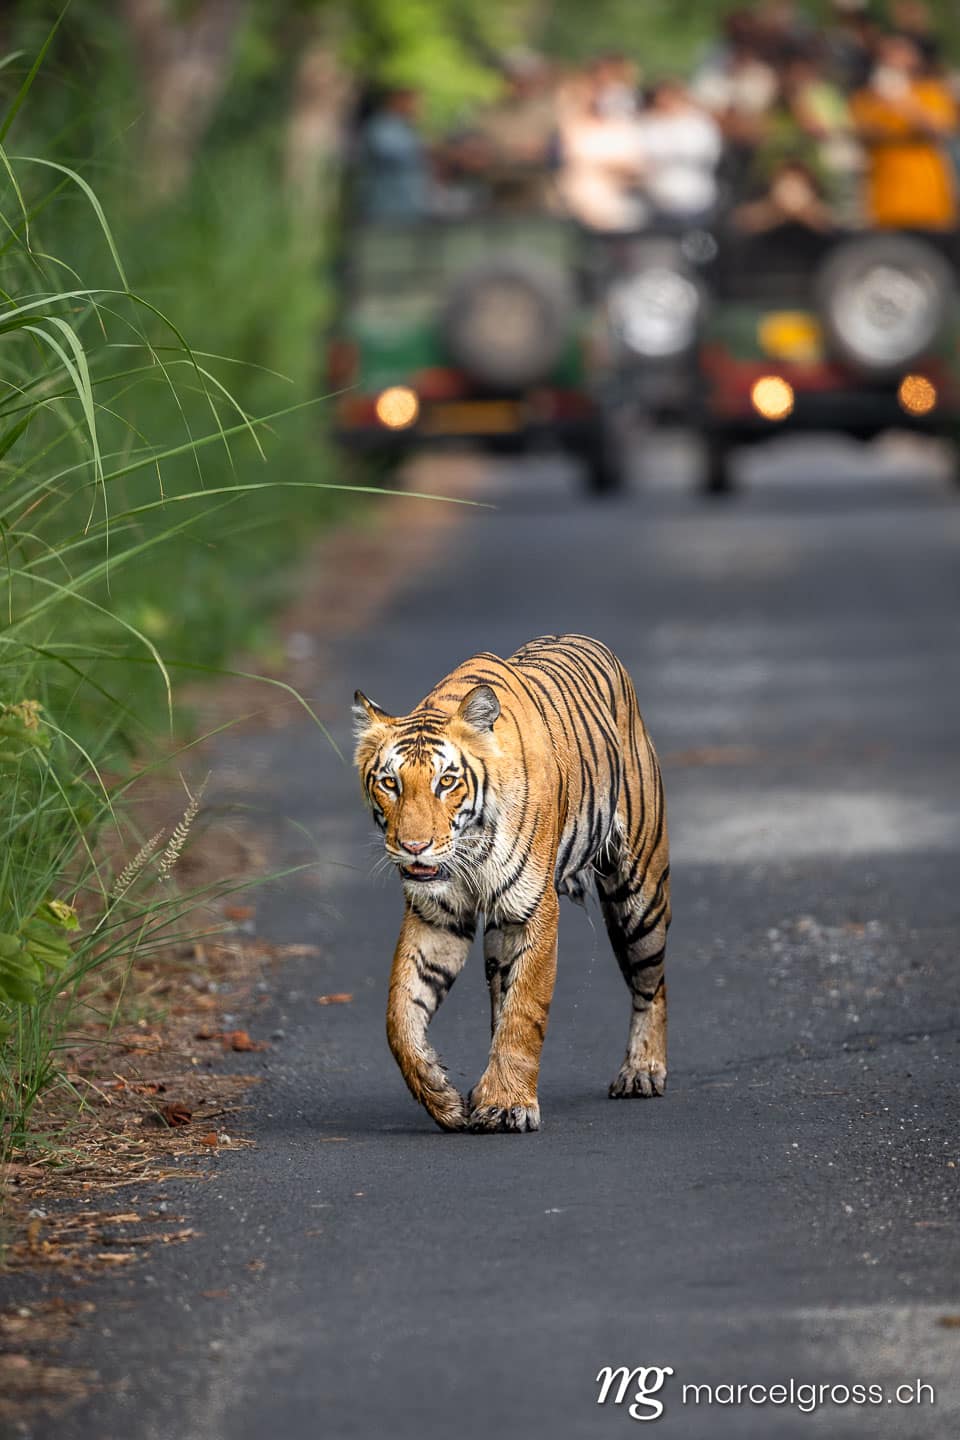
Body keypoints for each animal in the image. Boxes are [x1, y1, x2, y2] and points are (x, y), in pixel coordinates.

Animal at [353, 633, 670, 1134]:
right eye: (390, 783)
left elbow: (524, 1012)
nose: (414, 846)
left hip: (640, 895)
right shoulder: (436, 916)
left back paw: (641, 1072)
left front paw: (506, 1105)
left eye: (447, 782)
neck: (469, 848)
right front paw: (441, 1096)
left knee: (651, 986)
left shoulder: (531, 911)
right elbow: (400, 1014)